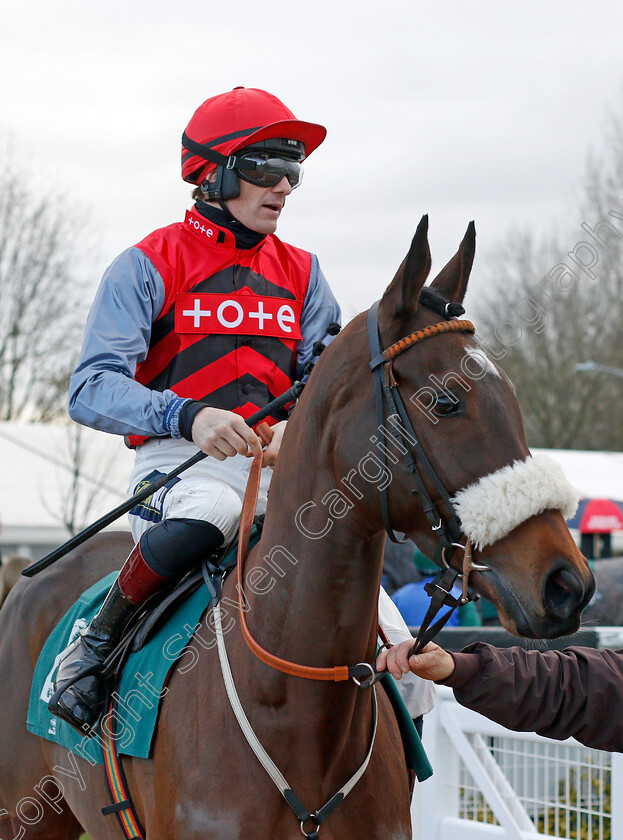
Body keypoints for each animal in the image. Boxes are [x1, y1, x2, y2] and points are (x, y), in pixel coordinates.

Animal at [0, 218, 596, 840]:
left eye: (513, 397)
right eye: (446, 401)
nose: (566, 583)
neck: (296, 714)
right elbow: (98, 377)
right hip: (26, 813)